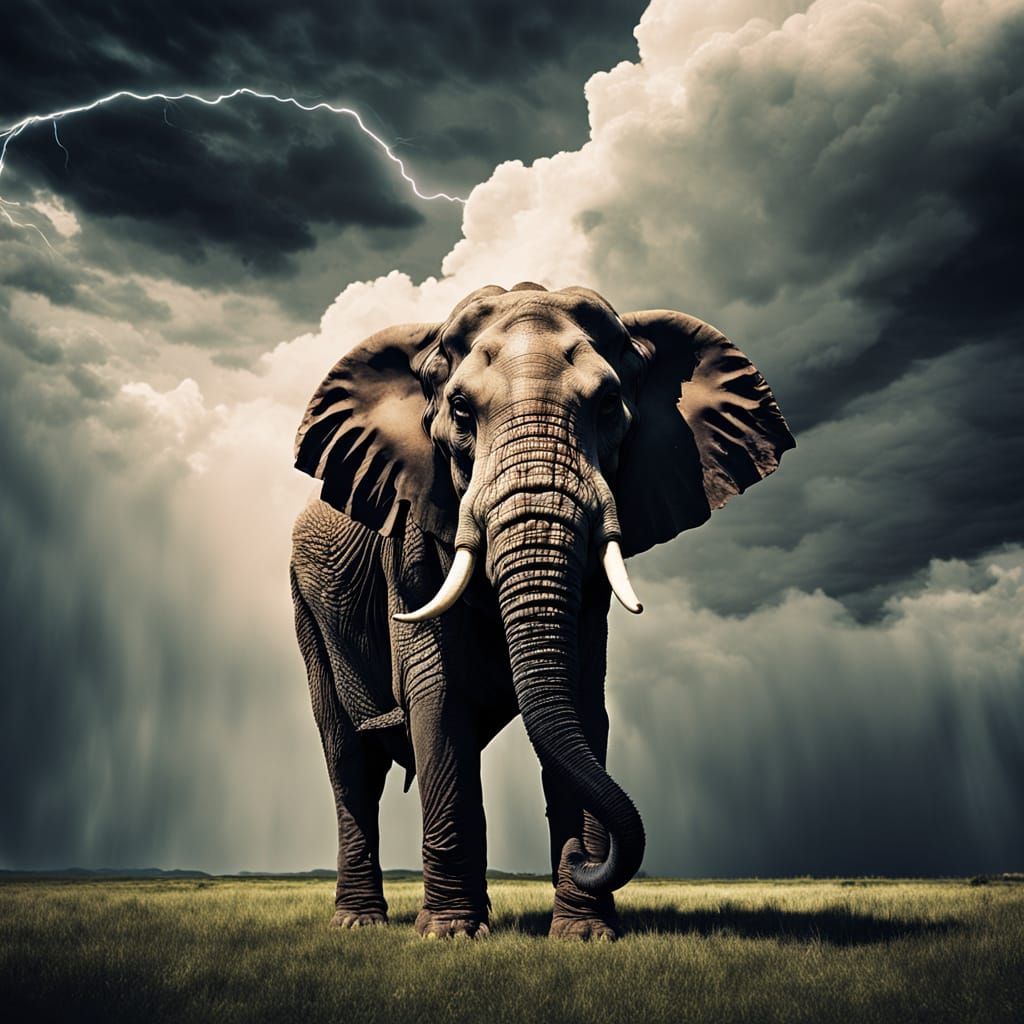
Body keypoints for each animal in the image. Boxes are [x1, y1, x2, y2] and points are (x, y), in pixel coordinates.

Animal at [289, 282, 794, 939]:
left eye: (608, 406)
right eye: (460, 410)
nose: (585, 858)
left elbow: (579, 701)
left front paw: (584, 936)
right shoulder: (409, 547)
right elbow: (438, 699)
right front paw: (450, 937)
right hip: (305, 605)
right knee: (350, 762)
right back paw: (359, 926)